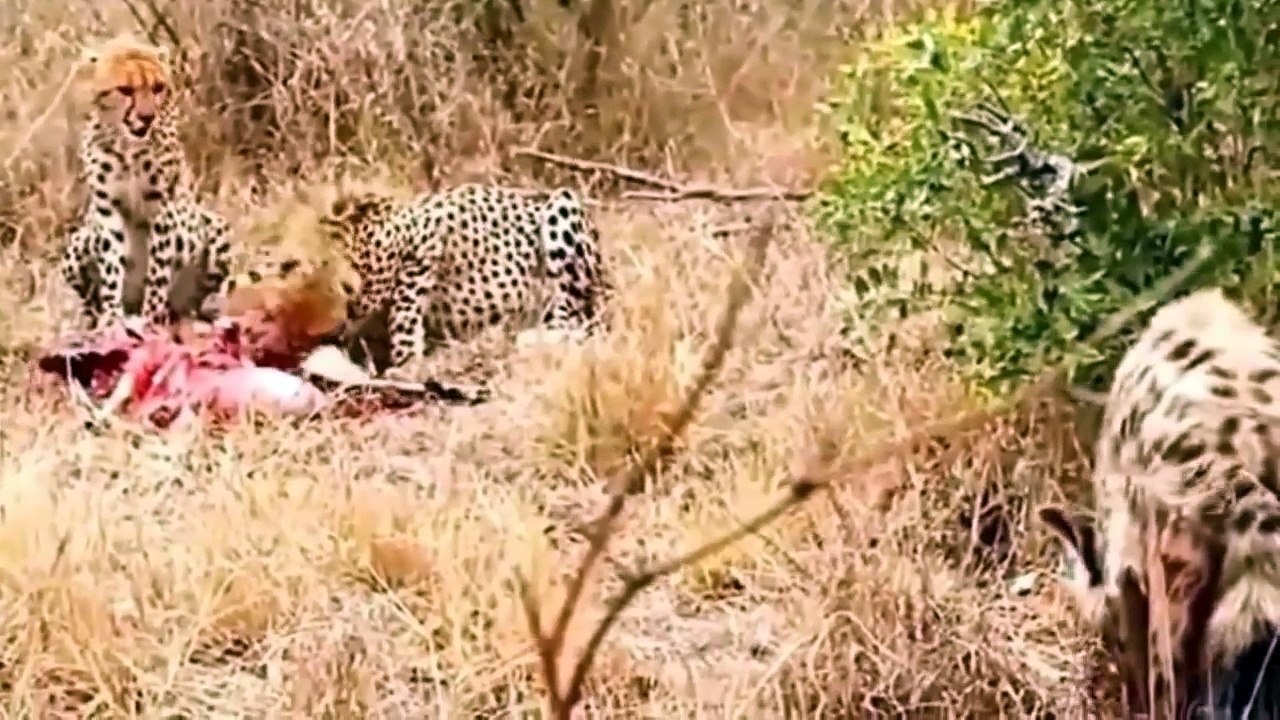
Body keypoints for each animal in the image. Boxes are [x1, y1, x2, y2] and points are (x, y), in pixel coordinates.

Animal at [58, 34, 232, 330]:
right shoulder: (107, 210)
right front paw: (112, 317)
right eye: (125, 90)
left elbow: (158, 270)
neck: (126, 145)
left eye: (158, 87)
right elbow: (111, 267)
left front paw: (151, 315)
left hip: (213, 227)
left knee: (194, 301)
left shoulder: (161, 209)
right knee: (90, 303)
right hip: (78, 243)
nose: (147, 117)